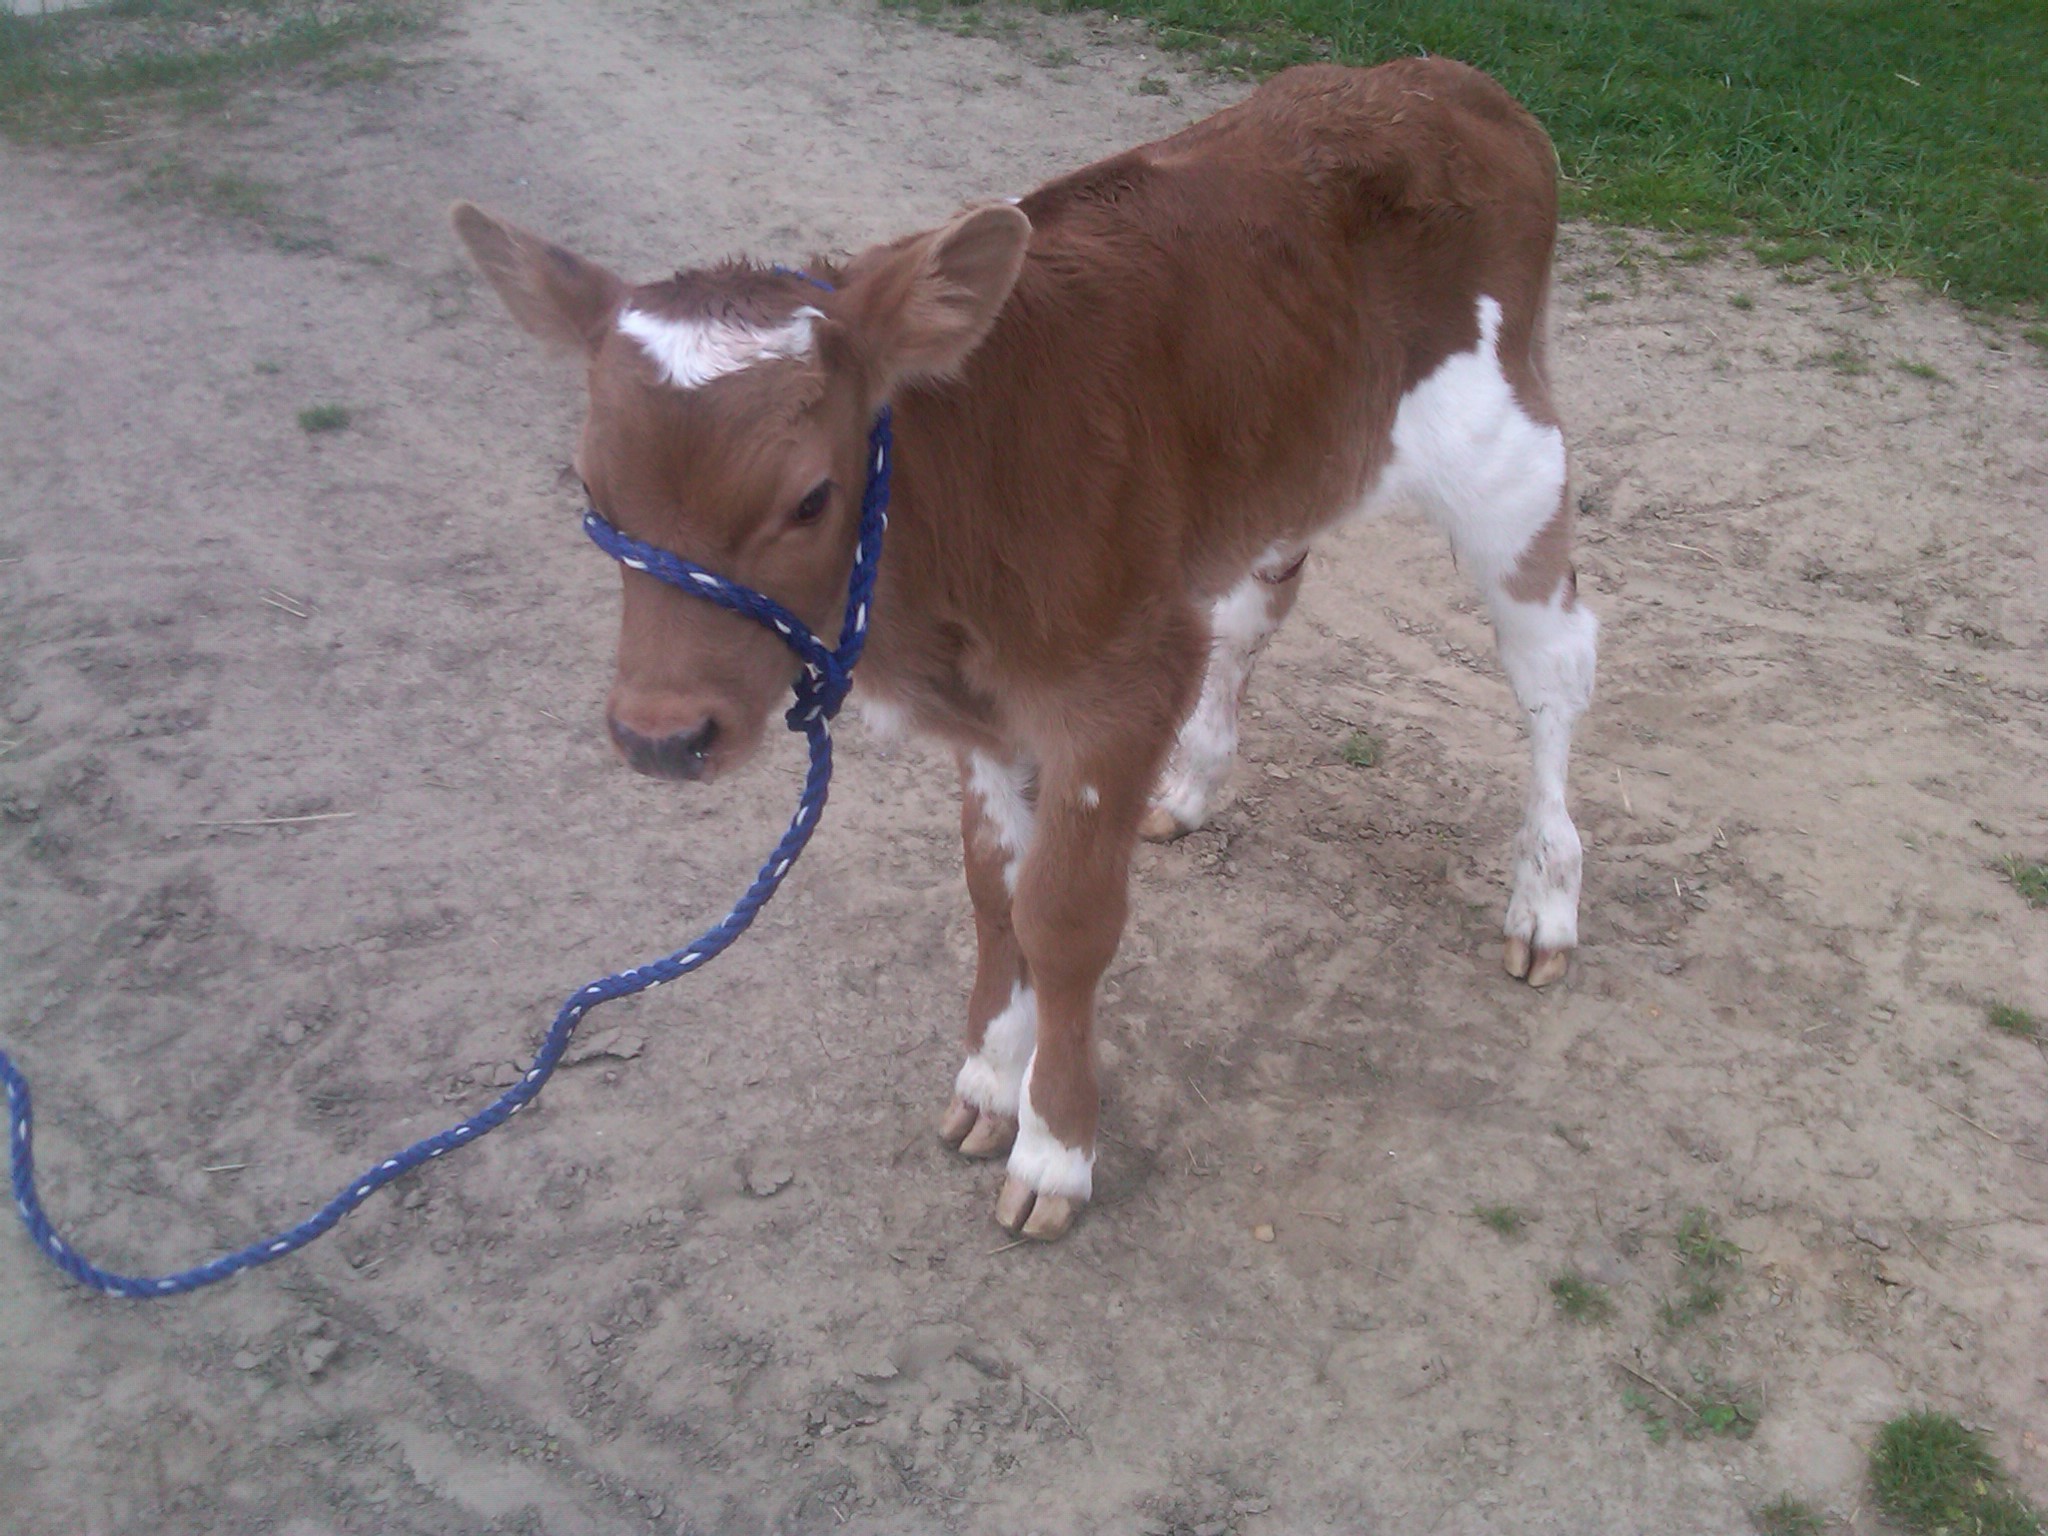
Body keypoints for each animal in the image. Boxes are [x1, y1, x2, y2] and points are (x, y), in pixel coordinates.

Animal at [452, 58, 1597, 1242]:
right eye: (593, 490)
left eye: (809, 497)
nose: (659, 735)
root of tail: (1439, 81)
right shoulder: (992, 709)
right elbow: (992, 892)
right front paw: (990, 1082)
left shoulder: (1120, 682)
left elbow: (1064, 918)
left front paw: (1054, 1146)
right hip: (1283, 451)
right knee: (1254, 608)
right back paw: (1193, 786)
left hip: (1504, 458)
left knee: (1554, 661)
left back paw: (1546, 899)